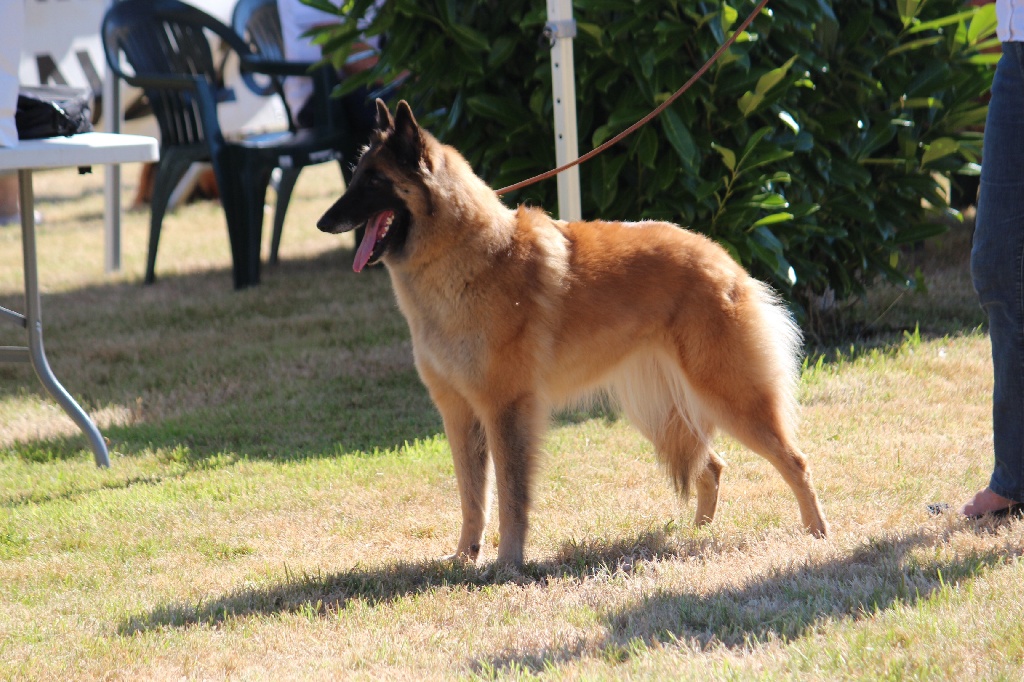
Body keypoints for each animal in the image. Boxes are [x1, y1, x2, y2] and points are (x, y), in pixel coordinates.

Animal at [315, 96, 827, 561]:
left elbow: (511, 498)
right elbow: (472, 498)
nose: (323, 222)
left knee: (796, 461)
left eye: (374, 180)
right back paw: (695, 536)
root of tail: (723, 260)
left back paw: (817, 532)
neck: (464, 256)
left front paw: (508, 563)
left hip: (728, 396)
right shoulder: (460, 414)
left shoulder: (505, 410)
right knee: (714, 465)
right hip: (662, 410)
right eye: (355, 175)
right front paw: (464, 558)